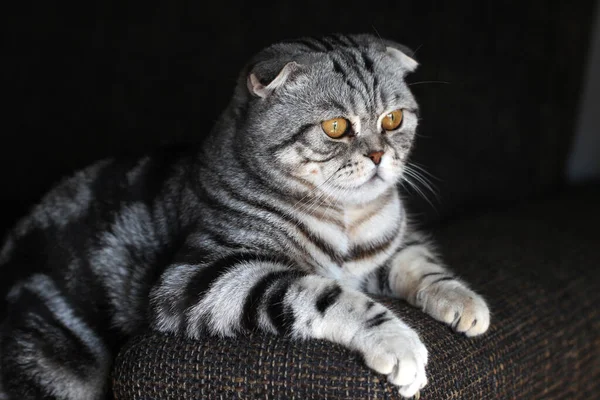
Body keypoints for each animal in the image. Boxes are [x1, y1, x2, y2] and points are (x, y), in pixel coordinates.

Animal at [0, 32, 490, 398]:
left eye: (392, 120)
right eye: (336, 127)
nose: (377, 156)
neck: (347, 219)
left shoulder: (387, 247)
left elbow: (419, 263)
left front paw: (463, 302)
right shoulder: (200, 278)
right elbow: (325, 293)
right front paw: (397, 341)